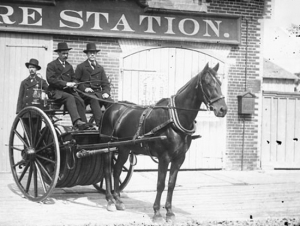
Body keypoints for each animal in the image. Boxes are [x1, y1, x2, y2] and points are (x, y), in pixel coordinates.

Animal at [98, 61, 227, 222]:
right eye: (208, 83)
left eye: (220, 83)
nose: (222, 109)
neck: (174, 118)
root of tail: (111, 107)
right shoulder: (164, 157)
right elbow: (160, 184)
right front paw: (157, 213)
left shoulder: (179, 158)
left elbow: (171, 184)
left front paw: (170, 212)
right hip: (109, 147)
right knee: (107, 171)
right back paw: (110, 200)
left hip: (124, 149)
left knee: (116, 170)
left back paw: (118, 200)